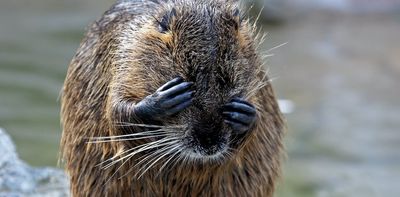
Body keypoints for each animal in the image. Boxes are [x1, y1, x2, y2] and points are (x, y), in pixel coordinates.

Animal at [59, 0, 284, 196]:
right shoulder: (123, 56)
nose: (209, 142)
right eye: (188, 79)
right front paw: (166, 98)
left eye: (227, 81)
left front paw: (243, 114)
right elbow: (116, 113)